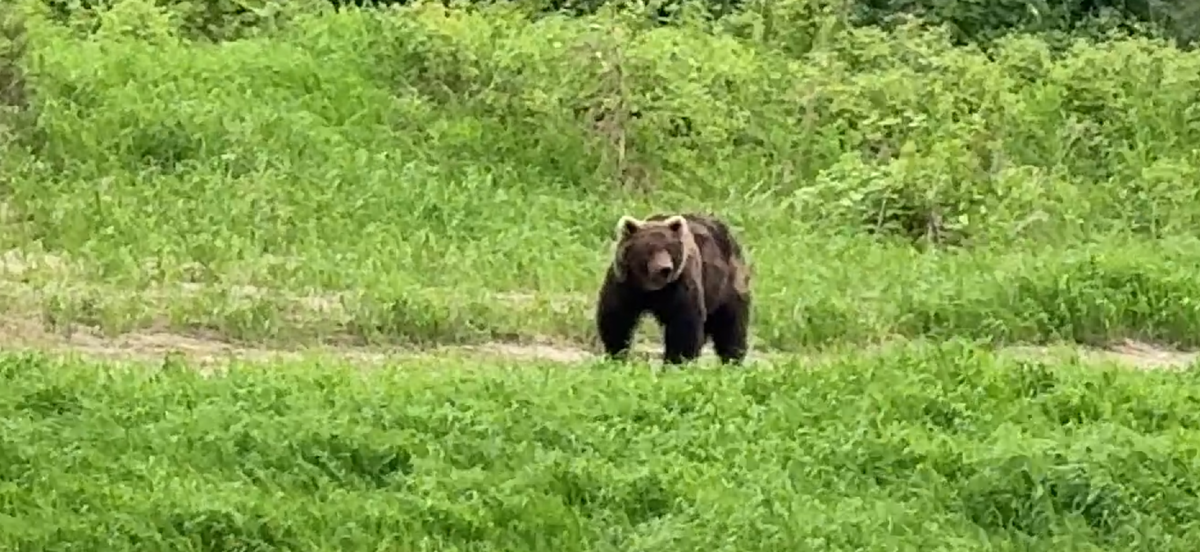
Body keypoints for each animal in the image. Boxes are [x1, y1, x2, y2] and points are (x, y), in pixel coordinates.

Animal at [595, 212, 752, 366]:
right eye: (650, 248)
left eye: (669, 248)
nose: (665, 268)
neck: (651, 287)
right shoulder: (625, 284)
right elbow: (617, 318)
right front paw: (616, 354)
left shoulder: (680, 284)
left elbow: (684, 324)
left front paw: (675, 362)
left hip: (726, 286)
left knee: (730, 326)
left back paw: (732, 359)